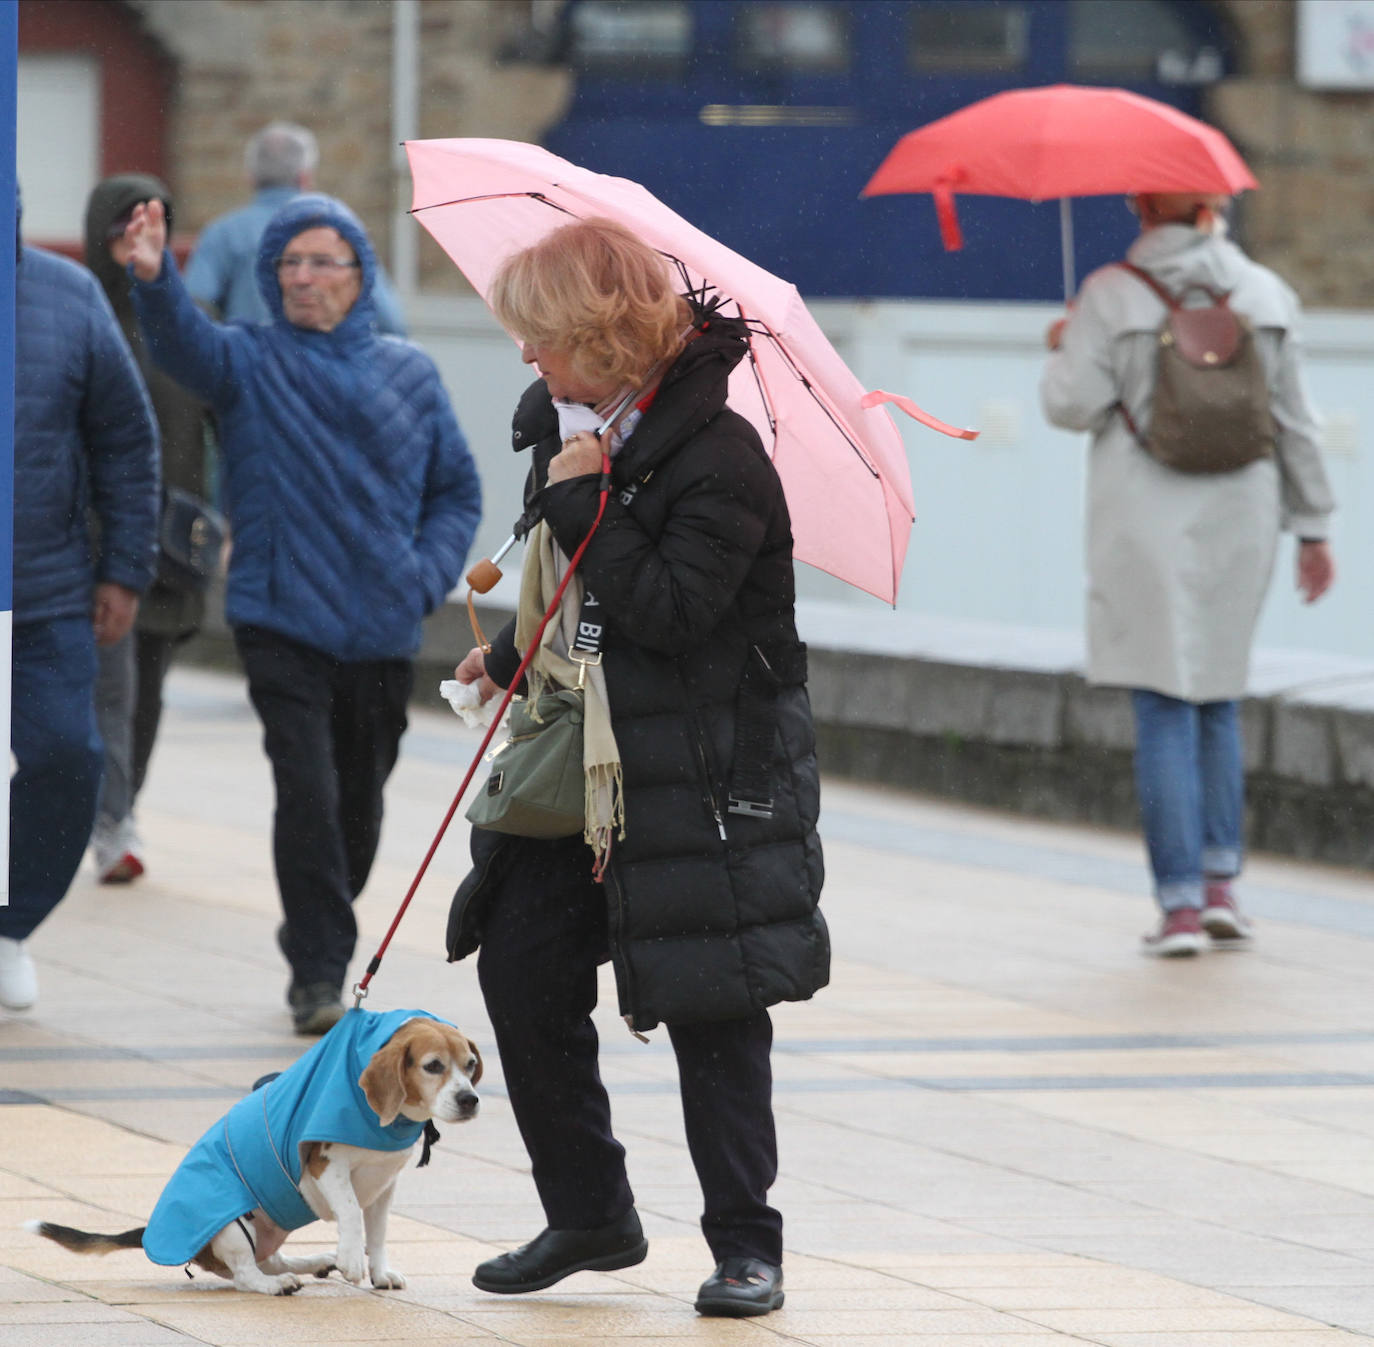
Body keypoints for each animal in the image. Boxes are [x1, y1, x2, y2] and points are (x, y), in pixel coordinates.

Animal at [25, 1011, 483, 1292]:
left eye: (470, 1065)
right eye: (433, 1066)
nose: (470, 1099)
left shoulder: (385, 1185)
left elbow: (379, 1233)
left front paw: (379, 1271)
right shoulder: (327, 1167)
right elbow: (352, 1214)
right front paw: (354, 1260)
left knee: (271, 1260)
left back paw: (316, 1261)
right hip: (232, 1223)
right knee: (246, 1274)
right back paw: (278, 1285)